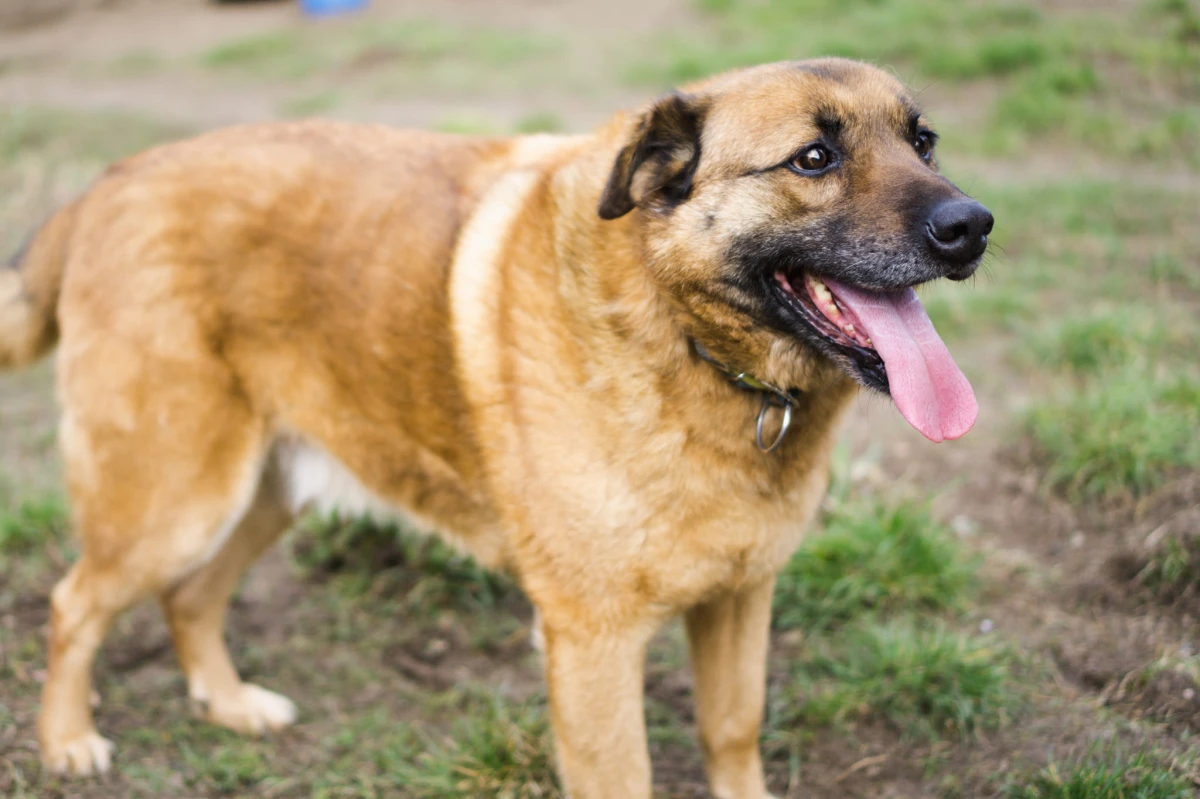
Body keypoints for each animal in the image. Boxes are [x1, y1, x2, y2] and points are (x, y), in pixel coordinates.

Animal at [0, 57, 991, 797]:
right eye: (814, 158)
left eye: (924, 142)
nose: (972, 226)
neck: (685, 338)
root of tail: (108, 182)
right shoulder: (592, 646)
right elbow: (624, 775)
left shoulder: (741, 597)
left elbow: (732, 730)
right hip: (174, 500)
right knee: (74, 603)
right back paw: (67, 740)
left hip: (263, 492)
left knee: (190, 598)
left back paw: (229, 702)